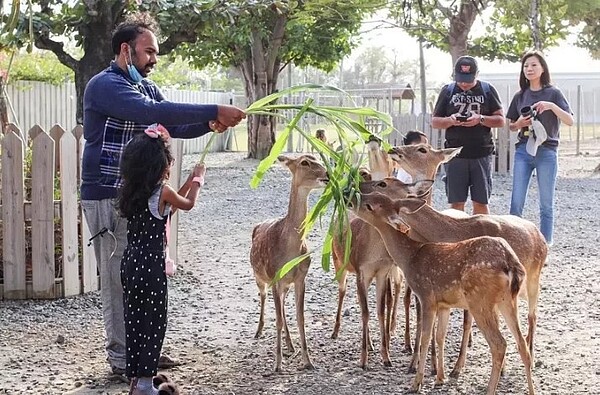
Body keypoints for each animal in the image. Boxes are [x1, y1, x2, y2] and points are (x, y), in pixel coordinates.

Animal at [250, 155, 328, 374]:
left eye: (317, 157)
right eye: (304, 162)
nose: (327, 174)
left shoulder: (301, 278)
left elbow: (300, 318)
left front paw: (308, 361)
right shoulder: (275, 277)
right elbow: (277, 319)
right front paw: (277, 365)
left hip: (285, 285)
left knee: (283, 306)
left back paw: (290, 344)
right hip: (260, 276)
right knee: (263, 296)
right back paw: (259, 330)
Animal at [358, 178, 548, 376]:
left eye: (383, 184)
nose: (359, 185)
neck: (453, 234)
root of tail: (540, 236)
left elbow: (465, 323)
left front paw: (455, 368)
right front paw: (418, 365)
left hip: (534, 278)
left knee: (532, 316)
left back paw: (530, 360)